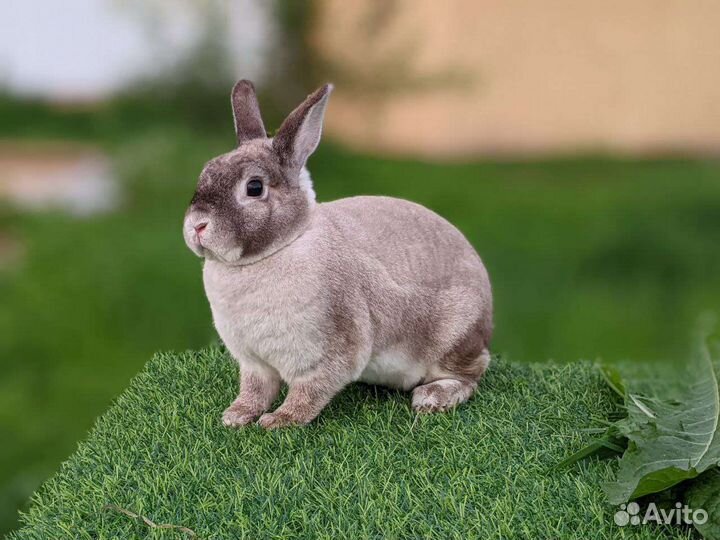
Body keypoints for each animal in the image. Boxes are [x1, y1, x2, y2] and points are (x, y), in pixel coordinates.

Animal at [183, 80, 493, 429]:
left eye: (254, 188)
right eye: (206, 172)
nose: (197, 225)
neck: (280, 247)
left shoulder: (329, 351)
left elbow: (309, 392)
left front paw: (280, 420)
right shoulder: (254, 363)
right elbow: (255, 389)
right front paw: (236, 415)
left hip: (455, 336)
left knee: (470, 374)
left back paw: (432, 398)